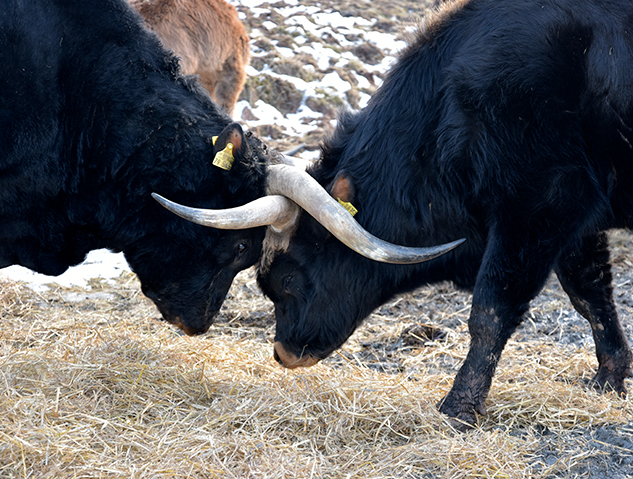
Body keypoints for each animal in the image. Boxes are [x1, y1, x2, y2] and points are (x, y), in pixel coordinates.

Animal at [254, 0, 632, 430]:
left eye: (289, 276)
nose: (283, 352)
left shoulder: (536, 208)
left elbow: (490, 312)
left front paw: (460, 406)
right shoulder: (577, 223)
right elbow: (591, 294)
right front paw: (609, 379)